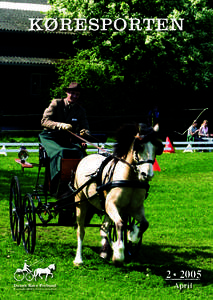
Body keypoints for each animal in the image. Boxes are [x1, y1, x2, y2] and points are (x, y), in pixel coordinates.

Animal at [73, 122, 163, 264]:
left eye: (157, 148)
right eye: (139, 147)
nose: (147, 174)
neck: (130, 180)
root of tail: (88, 156)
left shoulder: (135, 208)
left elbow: (144, 224)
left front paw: (132, 235)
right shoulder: (112, 205)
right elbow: (120, 224)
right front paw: (119, 252)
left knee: (104, 228)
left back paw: (104, 251)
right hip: (81, 201)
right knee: (81, 230)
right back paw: (78, 259)